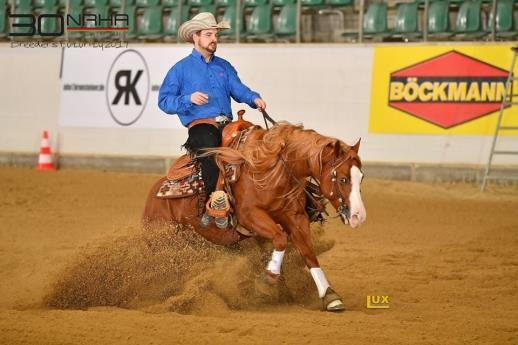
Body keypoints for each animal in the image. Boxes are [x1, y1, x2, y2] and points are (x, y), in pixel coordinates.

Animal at [144, 122, 368, 310]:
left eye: (361, 177)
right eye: (343, 179)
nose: (358, 216)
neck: (272, 170)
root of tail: (153, 196)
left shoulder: (295, 217)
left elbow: (308, 252)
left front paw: (329, 295)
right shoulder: (250, 216)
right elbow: (280, 238)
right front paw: (268, 279)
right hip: (167, 242)